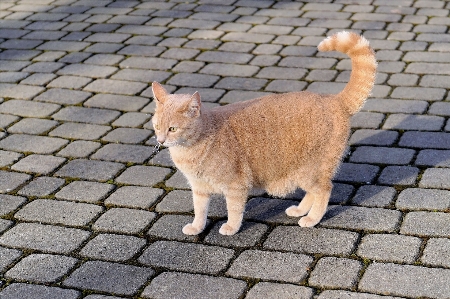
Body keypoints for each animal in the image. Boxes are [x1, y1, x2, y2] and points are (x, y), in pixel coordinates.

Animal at [151, 31, 376, 237]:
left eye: (172, 129)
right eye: (157, 126)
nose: (161, 140)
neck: (192, 148)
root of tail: (334, 100)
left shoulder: (236, 185)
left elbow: (234, 210)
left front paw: (231, 228)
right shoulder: (199, 189)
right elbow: (200, 211)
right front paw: (197, 227)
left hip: (310, 170)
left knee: (324, 190)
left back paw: (311, 218)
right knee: (313, 192)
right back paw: (300, 210)